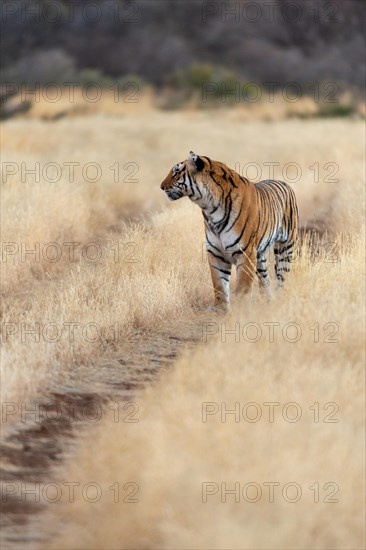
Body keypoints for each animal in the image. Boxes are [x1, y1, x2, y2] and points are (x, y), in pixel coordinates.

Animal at [162, 153, 298, 312]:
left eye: (176, 172)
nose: (161, 187)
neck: (209, 208)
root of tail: (283, 183)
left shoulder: (245, 252)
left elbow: (243, 287)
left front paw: (241, 309)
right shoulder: (216, 252)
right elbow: (219, 285)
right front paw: (220, 309)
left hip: (285, 247)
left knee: (282, 277)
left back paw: (280, 299)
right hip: (261, 255)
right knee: (265, 279)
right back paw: (268, 301)